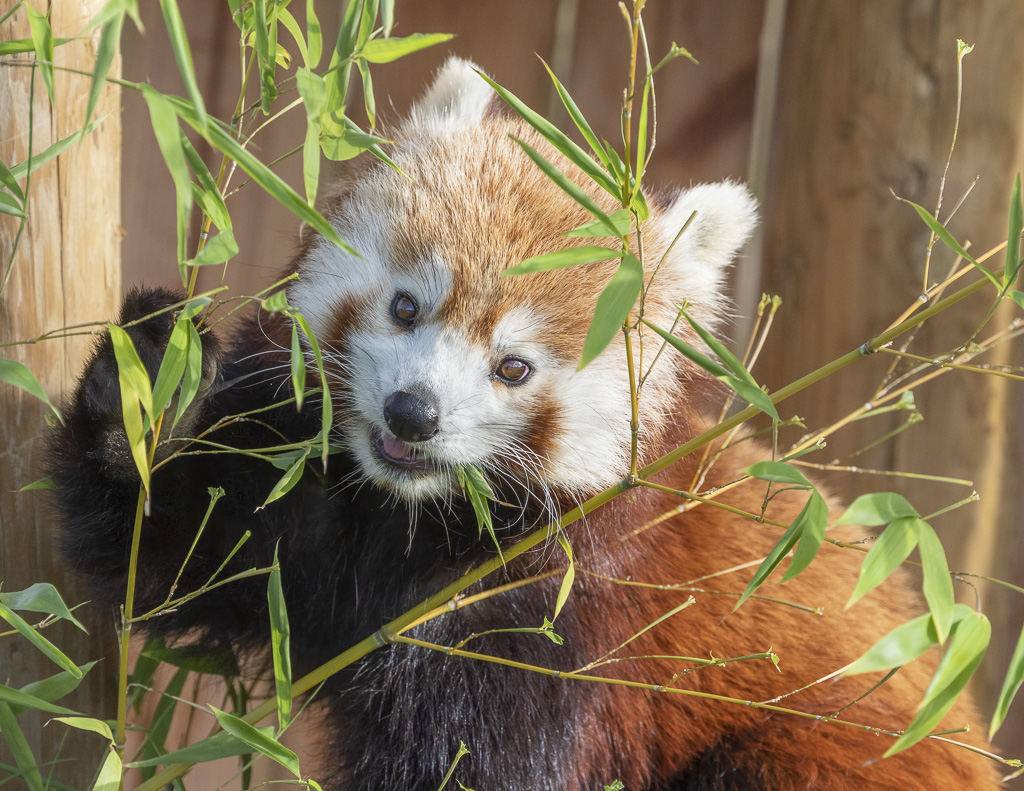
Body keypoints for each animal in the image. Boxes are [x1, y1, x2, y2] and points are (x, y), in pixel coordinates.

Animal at [50, 58, 1001, 790]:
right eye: (406, 306)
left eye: (514, 367)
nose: (413, 413)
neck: (412, 523)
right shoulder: (303, 509)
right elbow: (181, 547)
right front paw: (147, 386)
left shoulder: (556, 619)